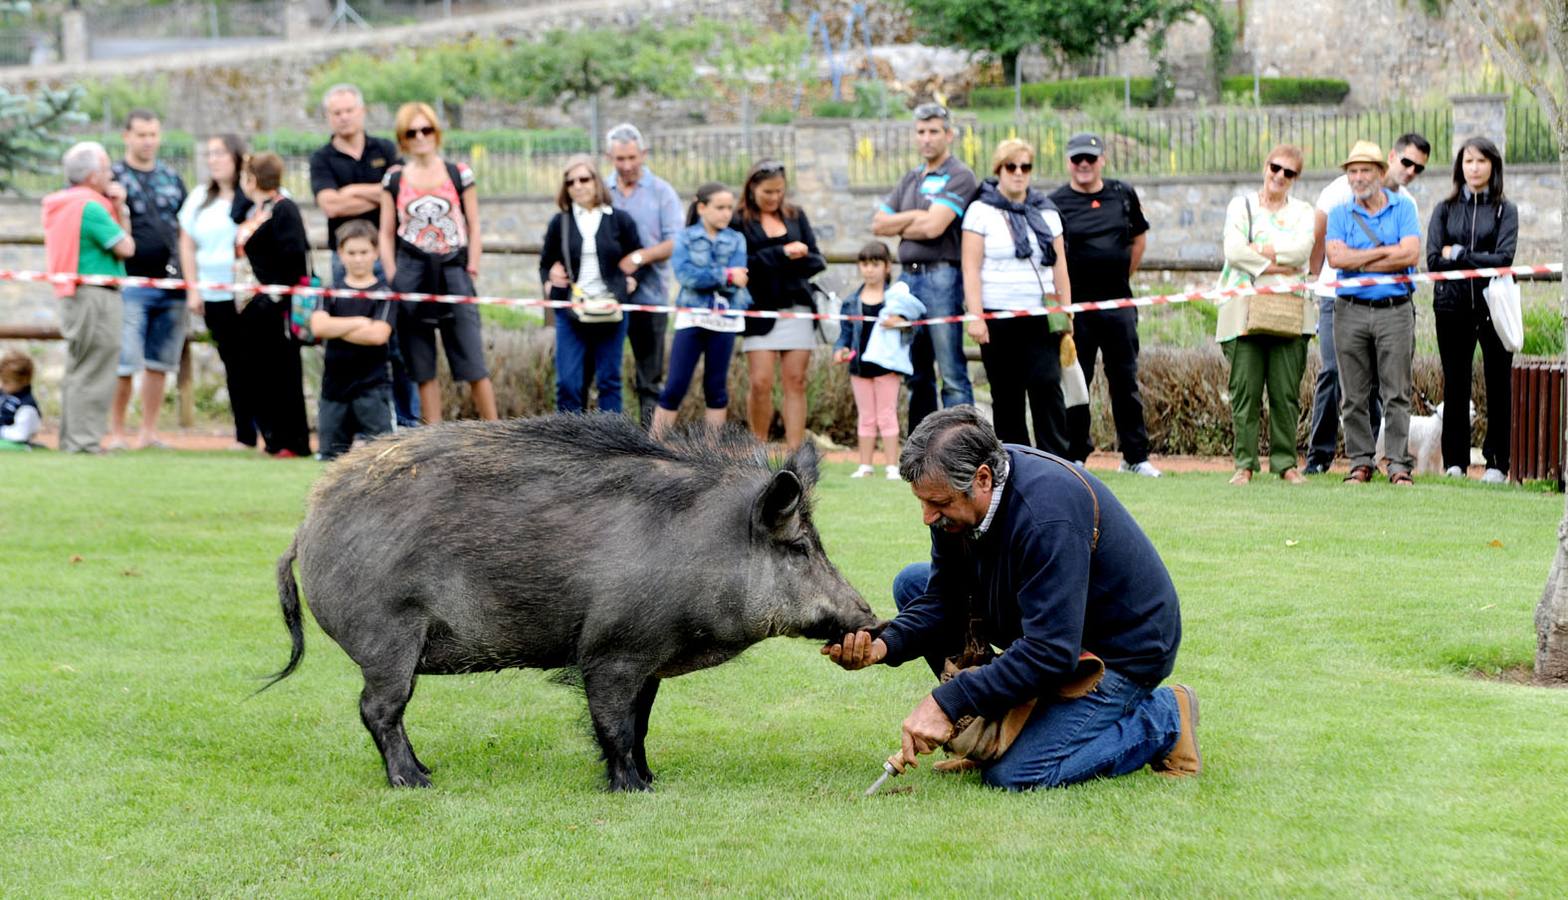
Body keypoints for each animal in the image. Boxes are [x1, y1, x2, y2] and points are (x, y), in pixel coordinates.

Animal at [269, 413, 884, 793]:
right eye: (799, 546)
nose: (870, 617)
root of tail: (305, 527)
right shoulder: (610, 651)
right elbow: (614, 725)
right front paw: (633, 792)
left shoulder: (647, 661)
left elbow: (641, 724)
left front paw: (652, 779)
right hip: (388, 637)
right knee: (379, 709)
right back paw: (417, 782)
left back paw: (427, 768)